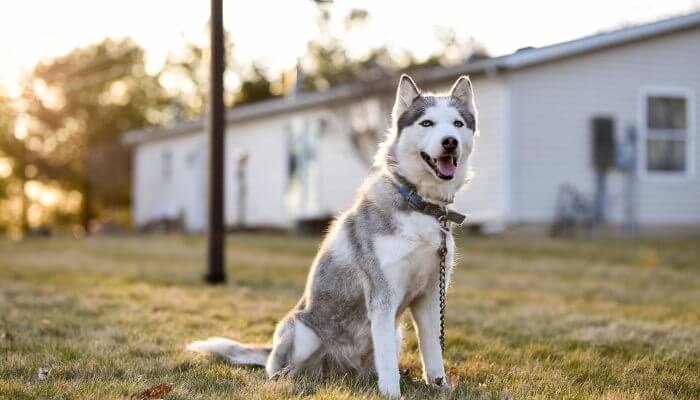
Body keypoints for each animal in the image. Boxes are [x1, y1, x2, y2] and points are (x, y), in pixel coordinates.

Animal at [189, 74, 478, 396]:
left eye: (457, 124)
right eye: (427, 123)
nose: (450, 141)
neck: (421, 205)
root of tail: (336, 370)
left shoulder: (429, 296)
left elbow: (433, 353)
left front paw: (441, 388)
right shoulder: (383, 296)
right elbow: (388, 362)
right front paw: (391, 393)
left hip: (394, 332)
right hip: (303, 333)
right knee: (283, 371)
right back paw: (293, 380)